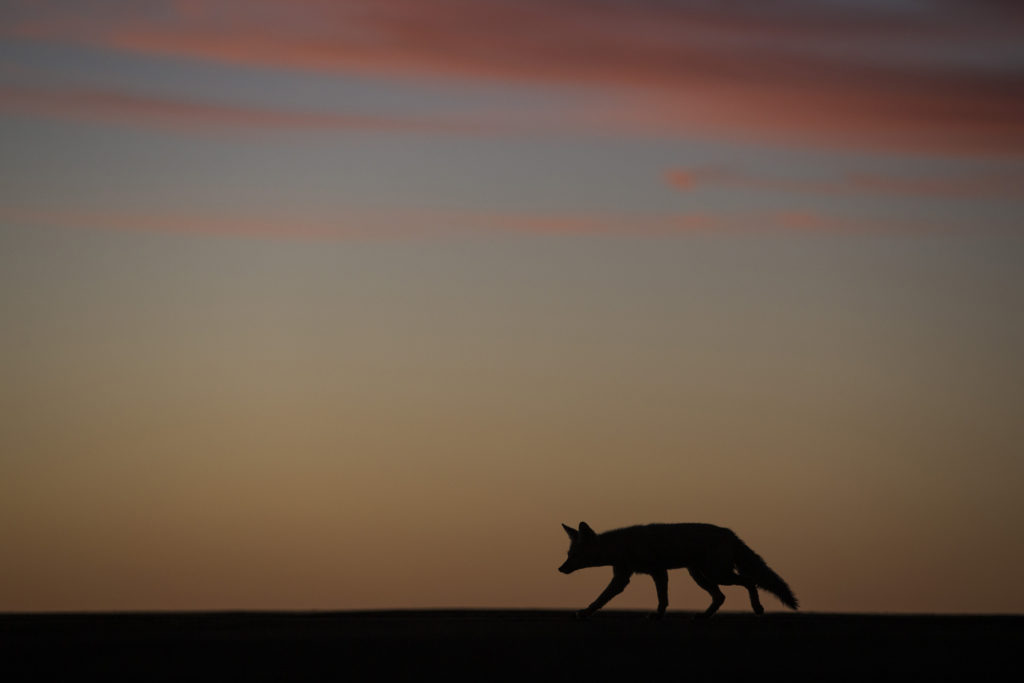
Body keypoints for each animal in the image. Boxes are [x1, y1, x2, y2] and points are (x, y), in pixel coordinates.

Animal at [561, 524, 798, 618]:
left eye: (573, 556)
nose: (560, 568)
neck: (623, 546)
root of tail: (730, 533)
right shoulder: (629, 576)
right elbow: (602, 599)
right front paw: (658, 616)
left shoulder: (654, 572)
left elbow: (601, 599)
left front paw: (583, 613)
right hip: (701, 576)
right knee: (720, 597)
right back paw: (703, 617)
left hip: (717, 575)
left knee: (749, 581)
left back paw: (757, 608)